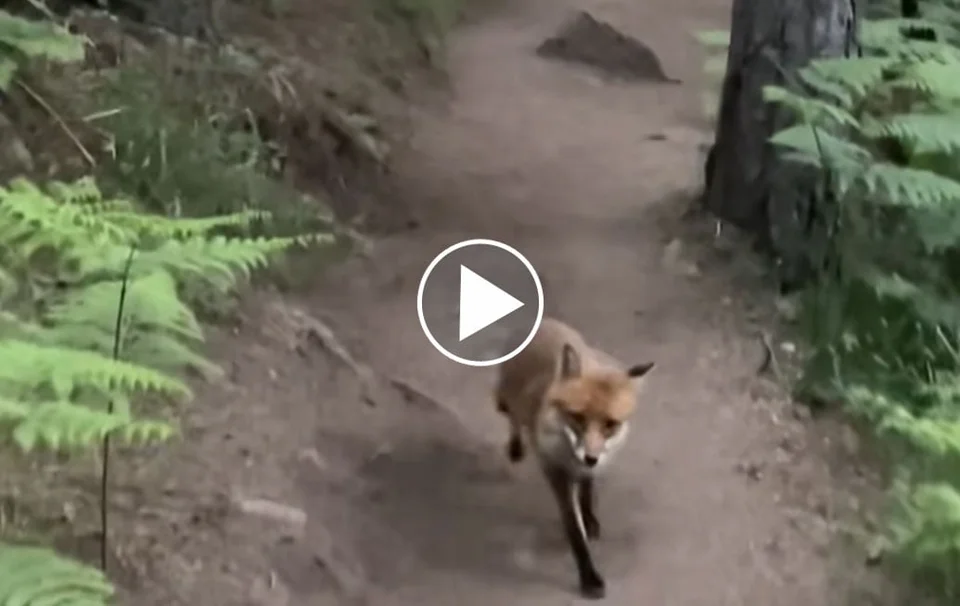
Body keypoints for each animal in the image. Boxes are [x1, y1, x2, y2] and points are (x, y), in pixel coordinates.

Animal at [493, 317, 654, 600]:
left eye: (610, 424)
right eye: (577, 417)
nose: (590, 457)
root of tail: (545, 322)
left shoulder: (591, 467)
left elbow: (588, 491)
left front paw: (589, 517)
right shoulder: (555, 471)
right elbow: (574, 531)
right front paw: (589, 577)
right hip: (512, 398)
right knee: (513, 418)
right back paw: (516, 446)